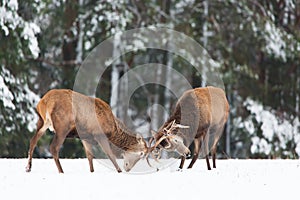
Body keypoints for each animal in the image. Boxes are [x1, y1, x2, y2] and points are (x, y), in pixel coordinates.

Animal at [25, 88, 158, 173]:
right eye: (141, 153)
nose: (128, 168)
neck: (113, 131)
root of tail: (44, 102)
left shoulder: (84, 137)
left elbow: (89, 156)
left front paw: (92, 171)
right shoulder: (99, 134)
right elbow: (109, 154)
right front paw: (119, 171)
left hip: (42, 121)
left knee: (33, 141)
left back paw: (28, 167)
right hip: (62, 125)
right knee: (53, 147)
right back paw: (61, 171)